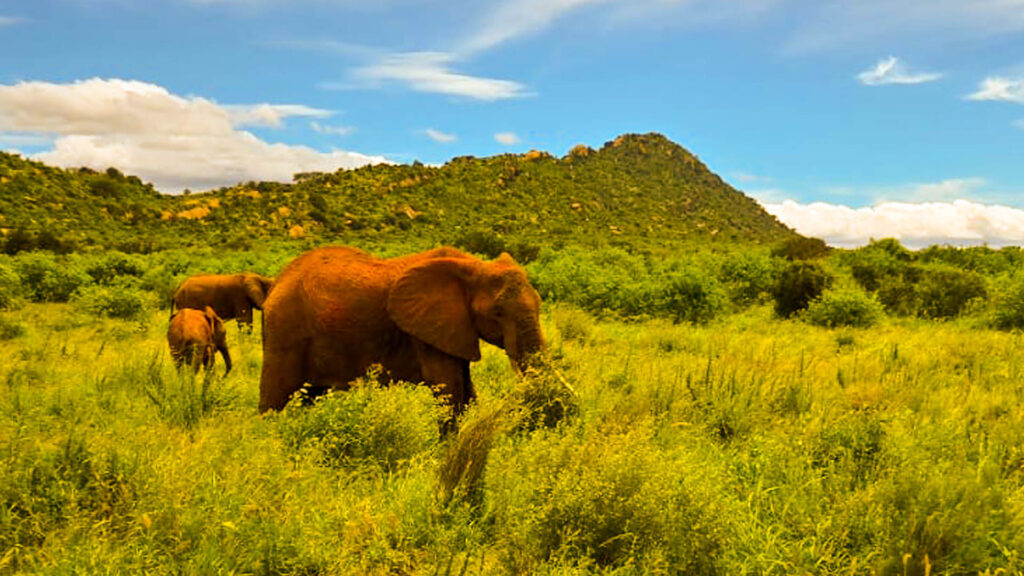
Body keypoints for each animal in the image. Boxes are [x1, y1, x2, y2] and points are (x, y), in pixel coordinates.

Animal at [259, 246, 545, 421]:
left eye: (540, 303)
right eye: (497, 312)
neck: (473, 265)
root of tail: (276, 282)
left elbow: (467, 392)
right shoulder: (427, 332)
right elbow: (449, 391)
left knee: (307, 396)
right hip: (283, 330)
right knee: (275, 398)